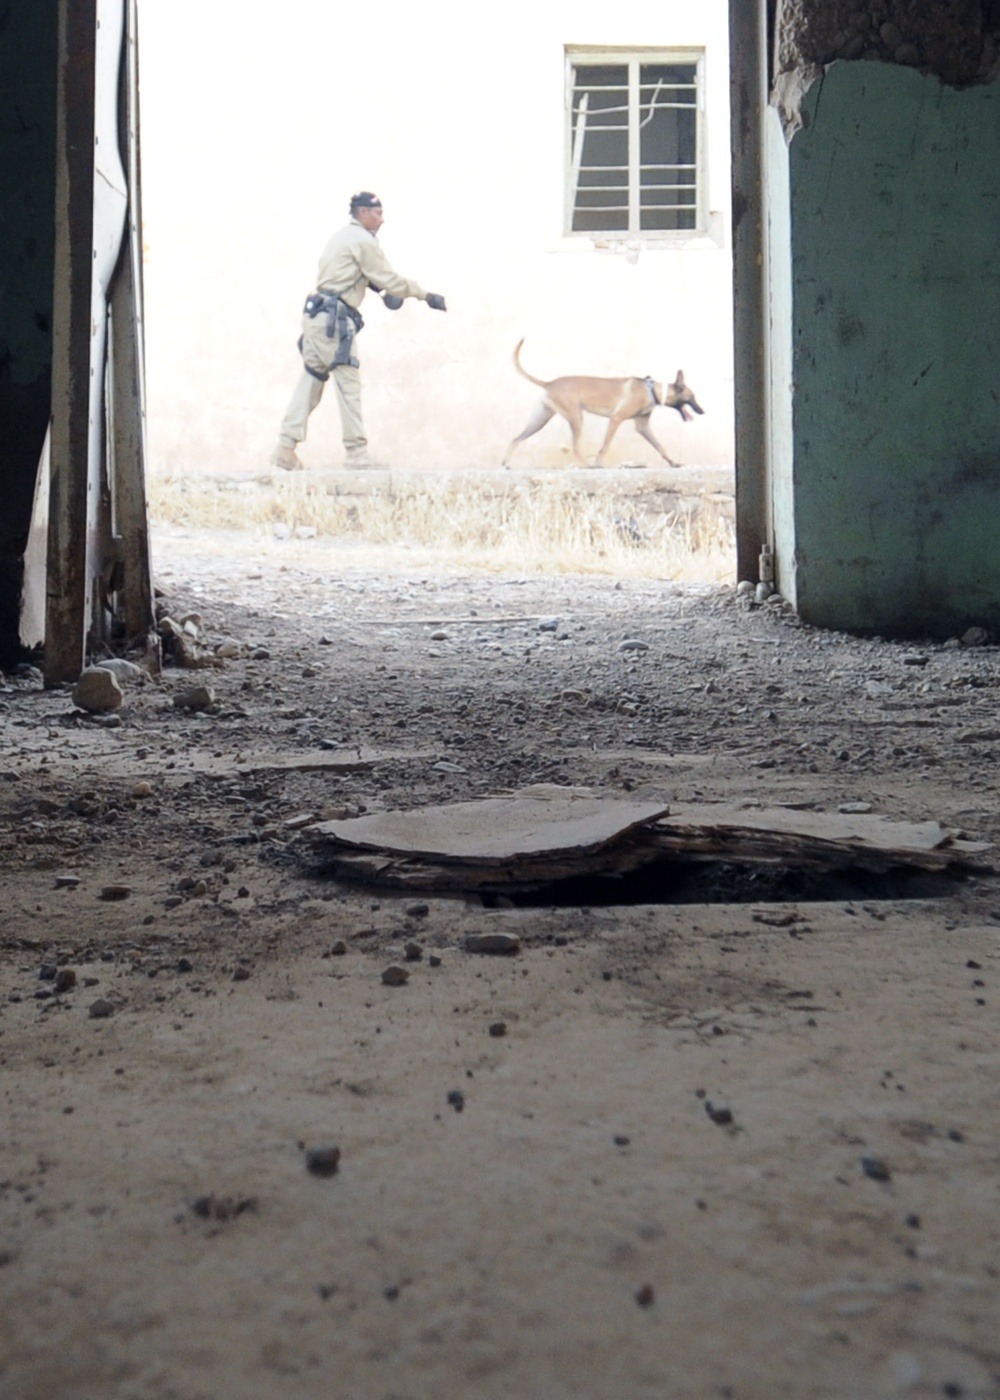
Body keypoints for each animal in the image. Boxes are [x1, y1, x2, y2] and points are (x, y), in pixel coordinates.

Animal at [498, 338, 700, 470]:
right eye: (692, 397)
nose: (702, 411)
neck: (651, 390)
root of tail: (549, 383)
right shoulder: (616, 419)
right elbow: (604, 446)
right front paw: (598, 462)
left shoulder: (643, 427)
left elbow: (660, 446)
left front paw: (673, 462)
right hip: (576, 417)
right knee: (575, 446)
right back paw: (588, 465)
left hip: (540, 420)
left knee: (516, 439)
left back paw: (506, 463)